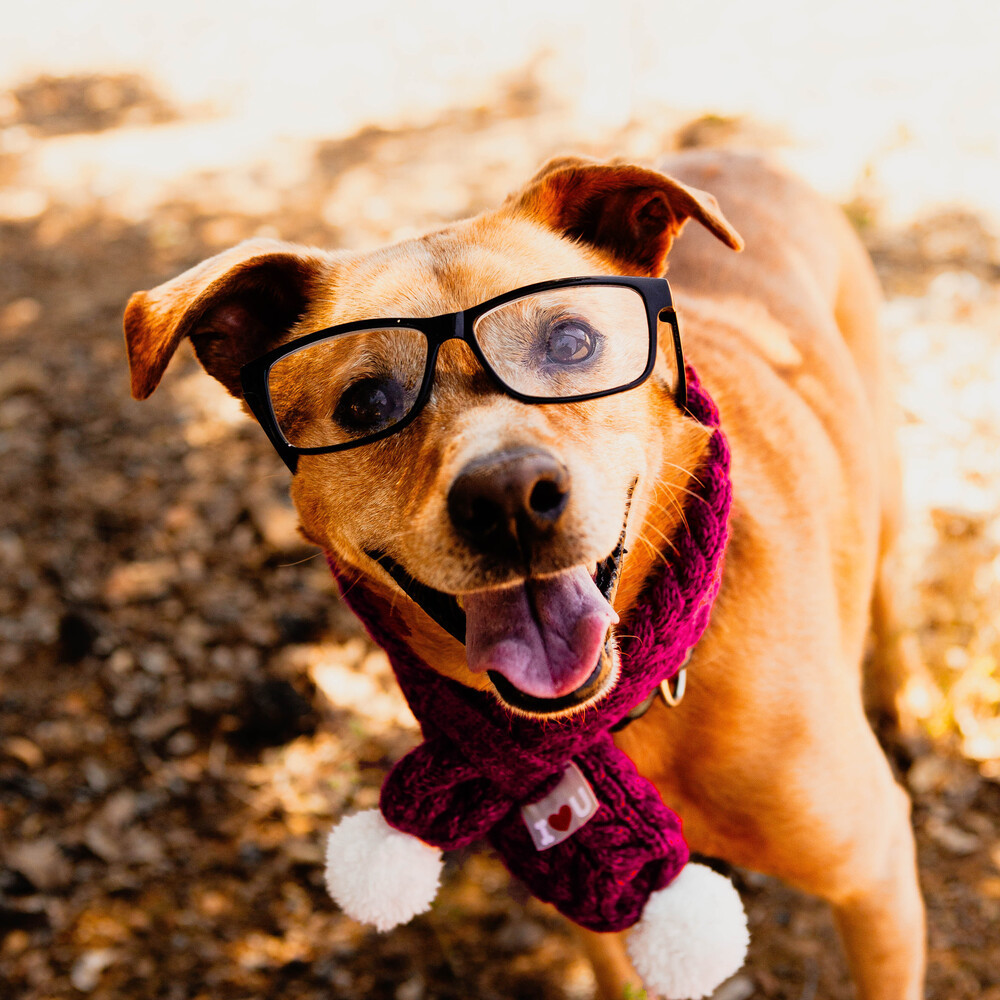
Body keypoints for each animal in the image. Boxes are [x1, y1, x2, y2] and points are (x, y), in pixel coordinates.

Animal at [125, 150, 928, 1000]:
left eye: (571, 342)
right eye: (366, 401)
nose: (508, 496)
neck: (634, 708)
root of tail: (729, 147)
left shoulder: (875, 879)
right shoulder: (593, 912)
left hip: (884, 473)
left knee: (888, 591)